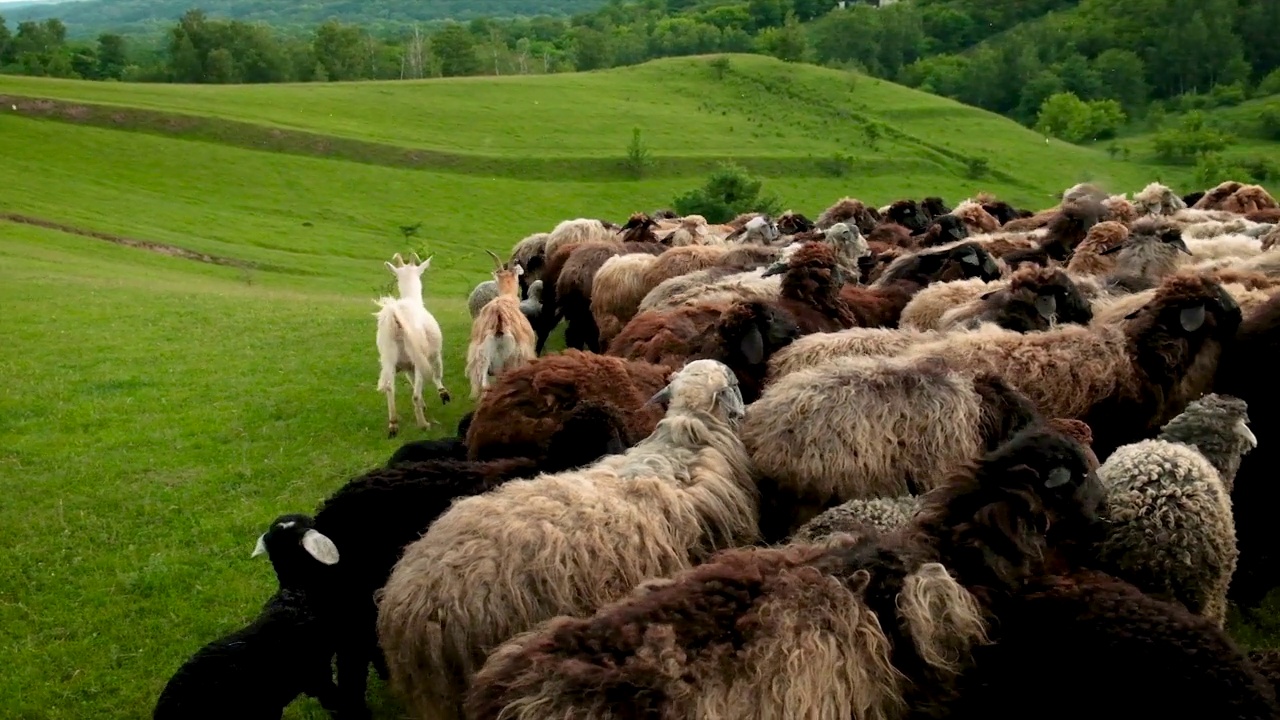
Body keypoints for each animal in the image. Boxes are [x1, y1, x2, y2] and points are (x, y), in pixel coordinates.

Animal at [371, 254, 450, 440]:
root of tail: (395, 318)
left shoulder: (407, 367)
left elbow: (413, 383)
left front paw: (424, 404)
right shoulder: (434, 354)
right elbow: (437, 374)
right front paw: (443, 394)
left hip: (390, 359)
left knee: (390, 388)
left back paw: (393, 425)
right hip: (417, 355)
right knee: (414, 394)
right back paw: (423, 424)